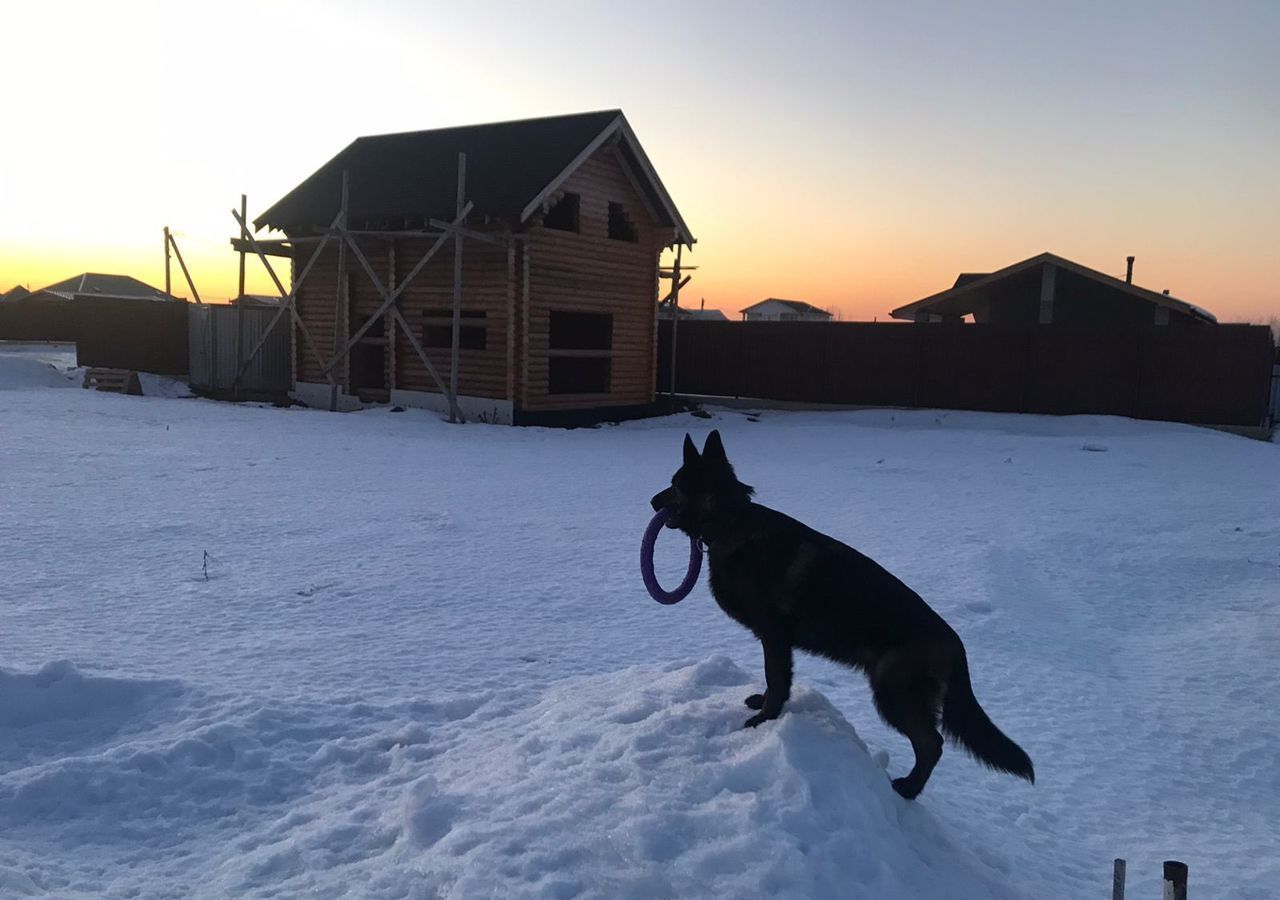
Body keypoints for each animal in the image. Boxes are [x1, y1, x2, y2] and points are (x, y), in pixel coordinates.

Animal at [655, 430, 1034, 803]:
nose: (652, 502)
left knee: (932, 743)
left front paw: (765, 718)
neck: (731, 521)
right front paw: (763, 705)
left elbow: (776, 678)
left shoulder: (775, 636)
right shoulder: (776, 641)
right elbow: (776, 679)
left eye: (674, 484)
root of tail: (956, 643)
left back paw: (908, 790)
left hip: (892, 692)